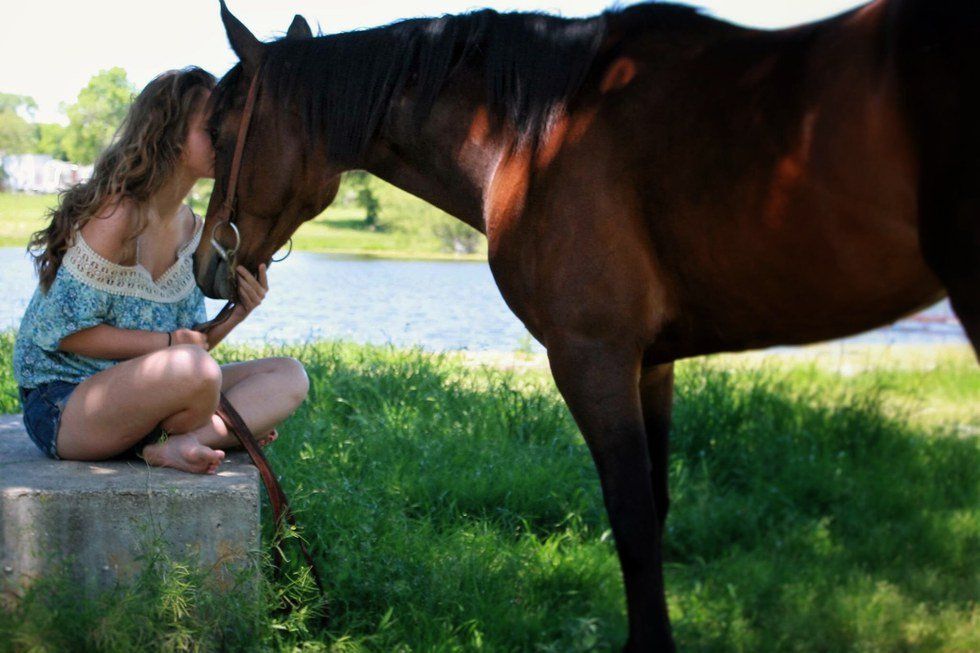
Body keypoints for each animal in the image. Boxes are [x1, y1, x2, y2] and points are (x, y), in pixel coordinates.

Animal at [194, 1, 979, 649]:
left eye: (221, 133)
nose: (205, 263)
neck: (538, 135)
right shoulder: (651, 363)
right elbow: (655, 509)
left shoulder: (591, 356)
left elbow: (630, 517)